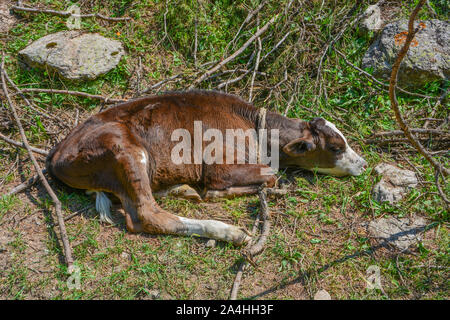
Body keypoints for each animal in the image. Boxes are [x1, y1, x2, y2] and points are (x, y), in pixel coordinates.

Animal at [47, 90, 368, 245]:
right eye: (336, 148)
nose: (364, 164)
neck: (256, 128)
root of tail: (57, 154)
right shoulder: (217, 166)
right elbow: (271, 176)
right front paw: (218, 194)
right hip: (124, 149)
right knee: (146, 215)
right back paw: (230, 233)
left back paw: (183, 190)